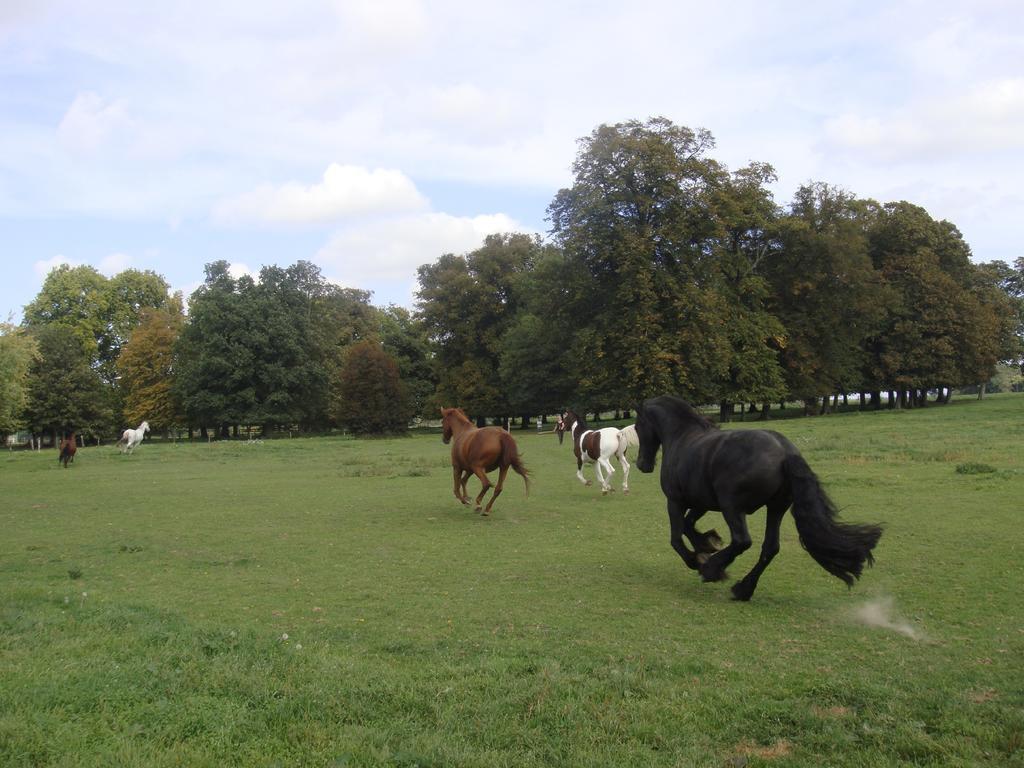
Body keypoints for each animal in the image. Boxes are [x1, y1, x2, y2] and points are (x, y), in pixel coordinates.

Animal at [630, 397, 880, 602]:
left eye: (637, 426)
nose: (642, 464)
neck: (682, 437)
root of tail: (786, 451)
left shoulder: (675, 501)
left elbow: (676, 537)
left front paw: (697, 559)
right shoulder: (701, 503)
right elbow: (688, 526)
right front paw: (707, 544)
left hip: (732, 507)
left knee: (742, 541)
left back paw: (712, 570)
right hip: (776, 508)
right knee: (770, 547)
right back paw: (743, 589)